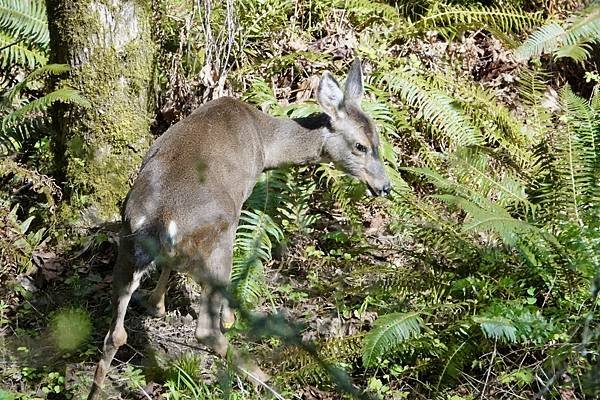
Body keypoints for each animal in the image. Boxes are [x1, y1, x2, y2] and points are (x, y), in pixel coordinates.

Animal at [86, 57, 392, 398]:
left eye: (378, 140)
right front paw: (229, 318)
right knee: (205, 331)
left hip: (128, 241)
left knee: (115, 334)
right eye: (361, 146)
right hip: (217, 240)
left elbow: (167, 269)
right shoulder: (241, 199)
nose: (385, 186)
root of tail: (161, 219)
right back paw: (266, 379)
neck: (266, 141)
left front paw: (157, 305)